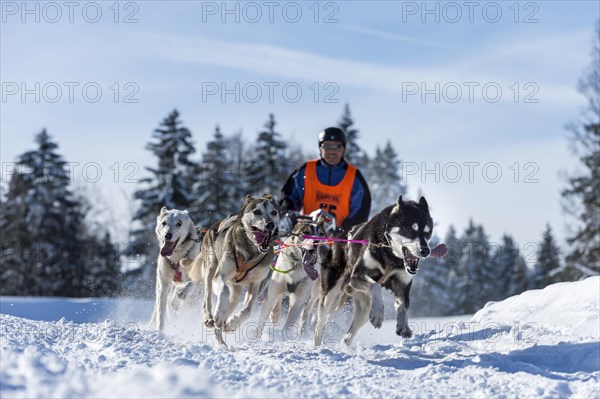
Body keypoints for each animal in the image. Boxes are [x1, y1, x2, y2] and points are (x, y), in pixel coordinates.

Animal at [195, 194, 282, 346]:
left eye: (274, 212)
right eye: (256, 211)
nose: (270, 224)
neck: (251, 251)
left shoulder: (256, 283)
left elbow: (247, 310)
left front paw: (232, 324)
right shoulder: (220, 276)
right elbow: (223, 292)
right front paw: (219, 313)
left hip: (237, 289)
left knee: (232, 304)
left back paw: (223, 335)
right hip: (211, 270)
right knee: (208, 299)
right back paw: (210, 318)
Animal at [314, 197, 446, 346]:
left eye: (428, 232)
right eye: (410, 229)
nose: (426, 251)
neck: (390, 256)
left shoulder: (402, 285)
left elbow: (402, 305)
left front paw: (403, 326)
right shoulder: (357, 275)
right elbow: (375, 285)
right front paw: (378, 314)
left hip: (364, 308)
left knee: (348, 335)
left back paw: (344, 345)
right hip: (330, 296)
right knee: (319, 325)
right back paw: (317, 345)